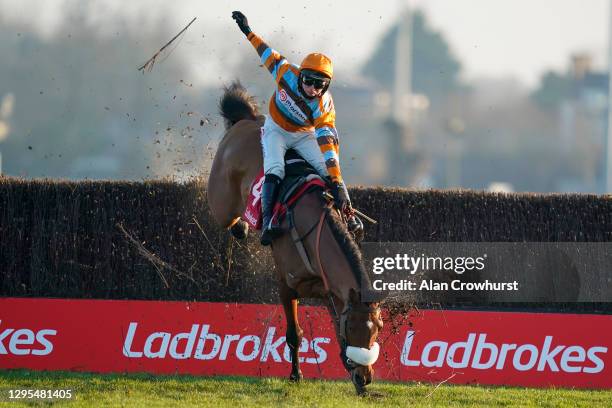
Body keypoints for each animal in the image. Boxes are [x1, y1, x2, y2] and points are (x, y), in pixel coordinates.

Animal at [209, 82, 382, 396]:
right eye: (353, 328)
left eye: (377, 329)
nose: (366, 377)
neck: (313, 232)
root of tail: (248, 120)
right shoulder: (286, 285)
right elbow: (294, 334)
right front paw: (295, 375)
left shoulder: (332, 291)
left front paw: (357, 381)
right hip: (221, 200)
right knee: (228, 218)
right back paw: (242, 228)